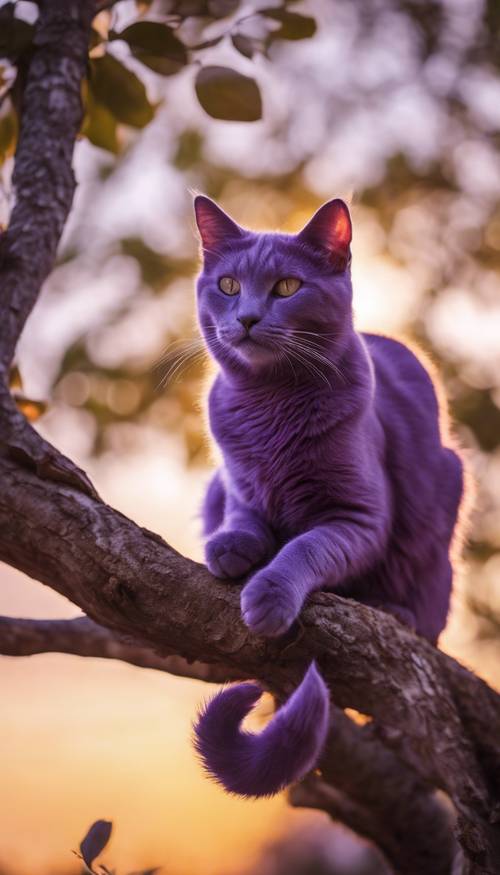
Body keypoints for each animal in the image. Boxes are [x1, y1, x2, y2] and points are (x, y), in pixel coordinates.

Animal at [192, 197, 464, 800]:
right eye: (228, 285)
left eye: (288, 286)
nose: (247, 317)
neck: (270, 406)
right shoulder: (235, 484)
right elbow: (243, 519)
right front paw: (230, 548)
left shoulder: (358, 518)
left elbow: (305, 547)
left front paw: (269, 595)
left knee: (428, 614)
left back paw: (395, 612)